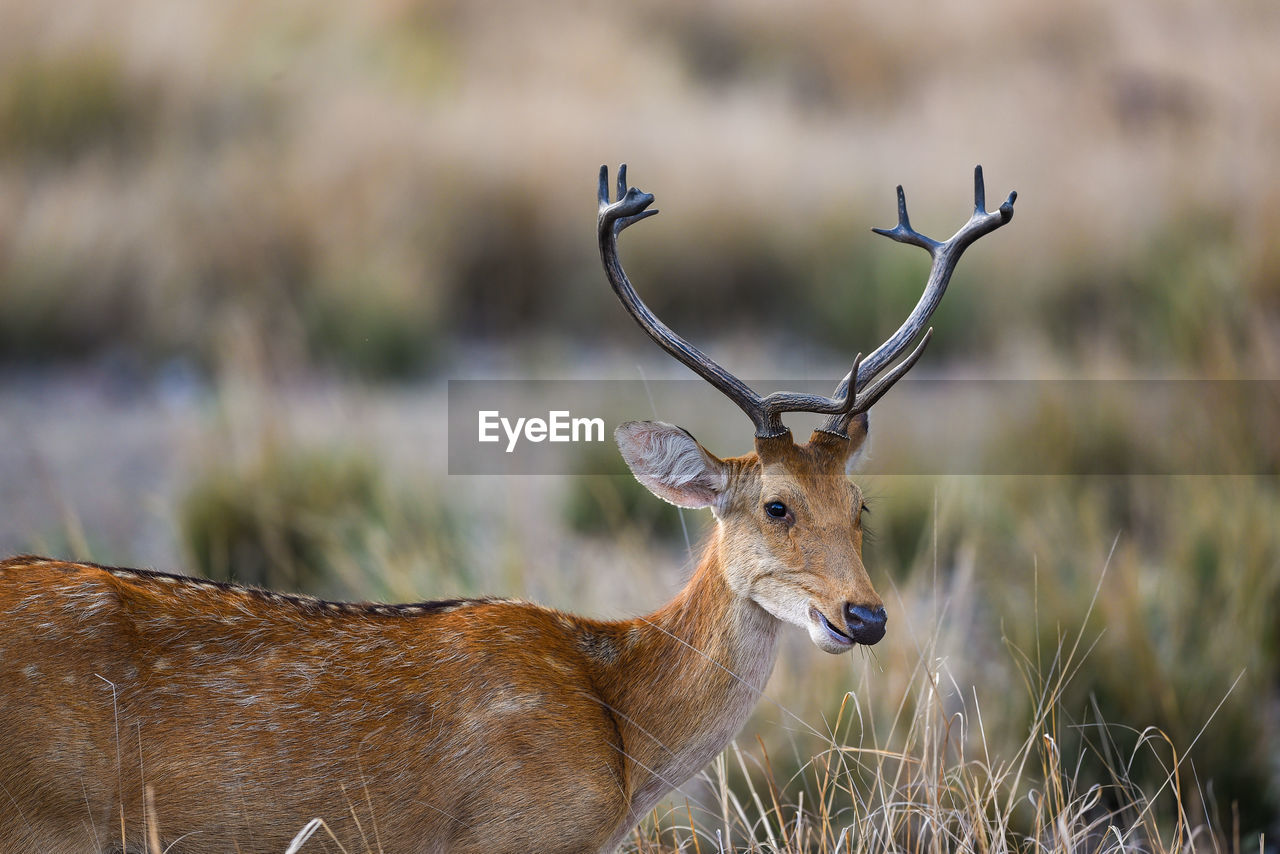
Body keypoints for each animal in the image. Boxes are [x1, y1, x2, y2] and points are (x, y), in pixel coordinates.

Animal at [2, 163, 1018, 850]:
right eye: (774, 506)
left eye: (861, 505)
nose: (866, 615)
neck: (620, 741)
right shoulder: (510, 833)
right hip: (47, 821)